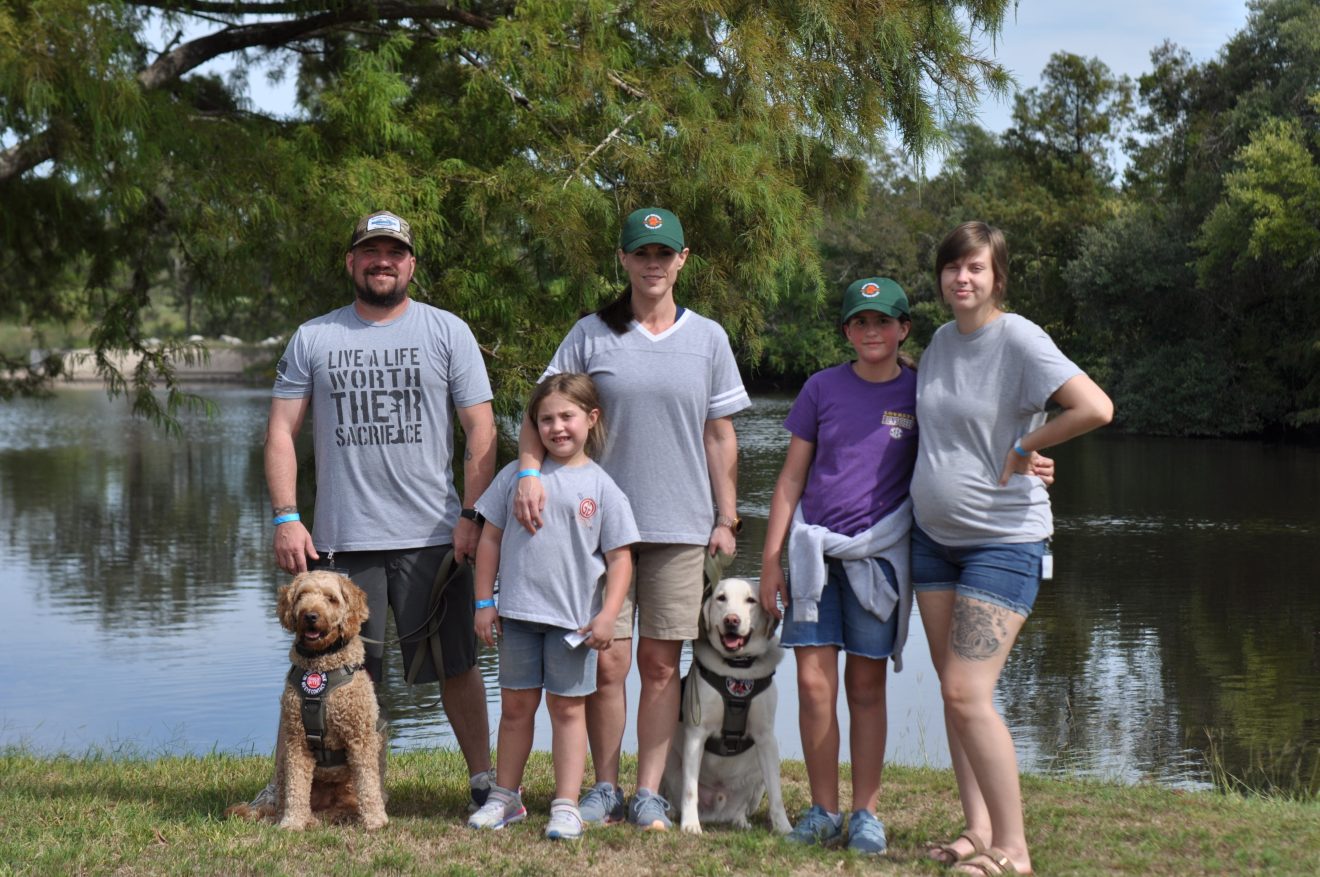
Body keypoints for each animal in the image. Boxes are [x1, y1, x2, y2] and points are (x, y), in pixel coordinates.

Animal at [227, 567, 385, 829]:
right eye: (302, 595)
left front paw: (375, 820)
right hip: (283, 772)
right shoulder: (296, 739)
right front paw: (292, 823)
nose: (310, 615)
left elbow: (368, 783)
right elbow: (296, 788)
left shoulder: (360, 737)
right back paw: (306, 819)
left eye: (331, 598)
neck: (321, 665)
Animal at [660, 575, 792, 834]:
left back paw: (740, 820)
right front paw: (690, 824)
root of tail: (715, 813)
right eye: (721, 598)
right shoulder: (696, 734)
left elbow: (777, 794)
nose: (732, 620)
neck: (737, 668)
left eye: (751, 600)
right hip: (670, 761)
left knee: (742, 808)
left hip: (756, 778)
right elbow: (690, 790)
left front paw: (784, 827)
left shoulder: (766, 738)